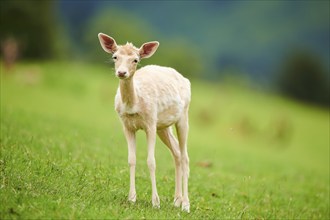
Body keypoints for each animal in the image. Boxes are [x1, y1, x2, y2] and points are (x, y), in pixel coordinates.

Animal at [98, 32, 191, 211]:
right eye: (115, 57)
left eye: (135, 59)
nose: (121, 72)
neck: (133, 106)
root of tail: (186, 80)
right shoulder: (127, 125)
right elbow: (131, 160)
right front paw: (132, 198)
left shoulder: (150, 123)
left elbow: (151, 161)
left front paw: (156, 202)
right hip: (163, 126)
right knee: (176, 152)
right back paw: (176, 200)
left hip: (183, 116)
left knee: (184, 157)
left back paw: (185, 204)